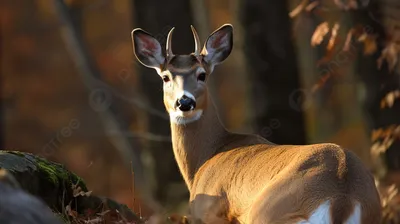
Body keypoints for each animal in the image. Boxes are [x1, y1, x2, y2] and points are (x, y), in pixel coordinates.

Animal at [131, 23, 382, 223]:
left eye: (202, 74)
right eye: (165, 77)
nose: (184, 102)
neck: (207, 156)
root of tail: (341, 199)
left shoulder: (209, 212)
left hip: (268, 214)